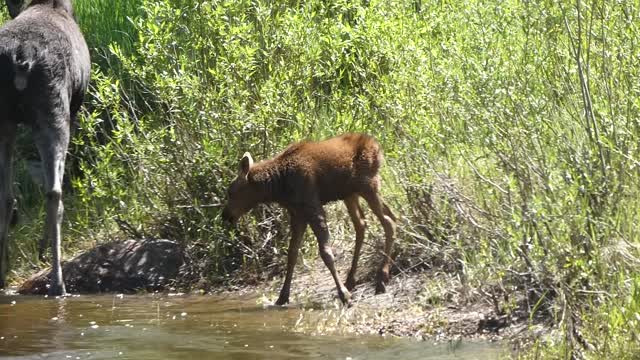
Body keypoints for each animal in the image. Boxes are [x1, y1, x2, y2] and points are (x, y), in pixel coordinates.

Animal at [222, 134, 398, 306]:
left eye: (231, 192)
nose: (225, 215)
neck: (278, 186)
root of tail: (377, 146)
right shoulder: (298, 214)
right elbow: (292, 254)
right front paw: (282, 296)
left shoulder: (312, 206)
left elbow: (326, 253)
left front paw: (344, 296)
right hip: (350, 194)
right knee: (368, 222)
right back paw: (352, 279)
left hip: (368, 186)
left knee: (388, 221)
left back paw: (381, 279)